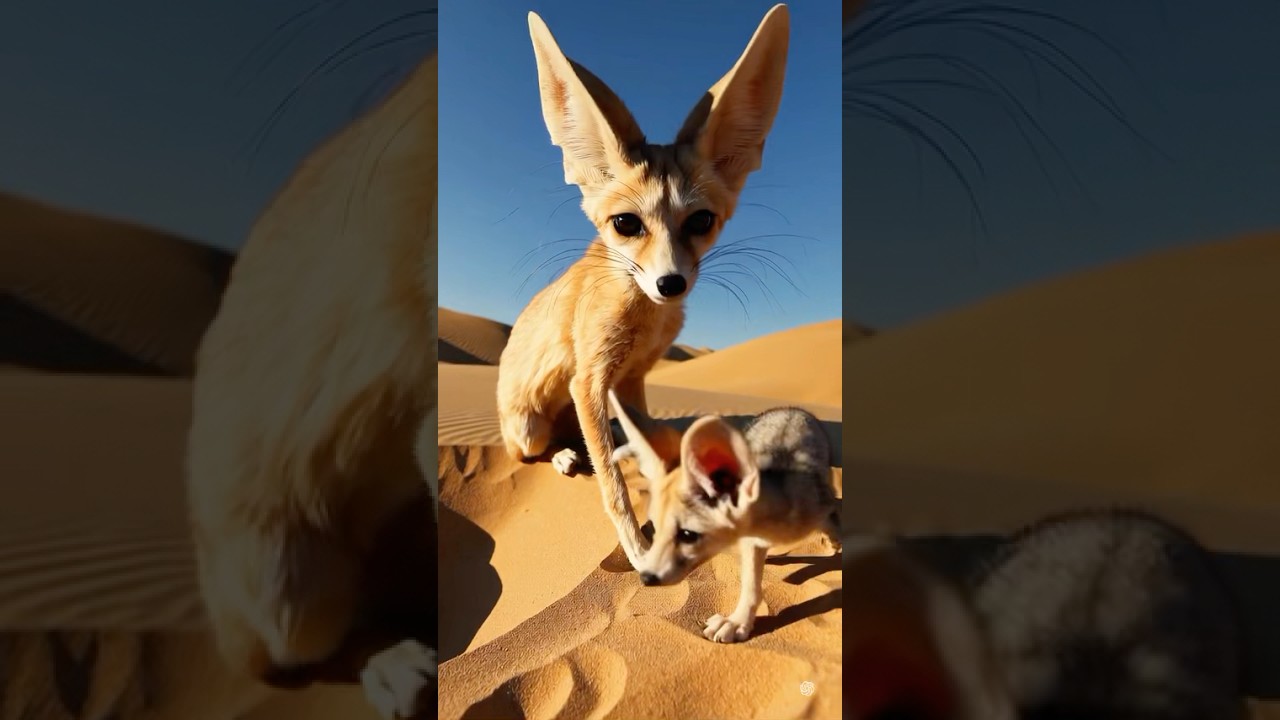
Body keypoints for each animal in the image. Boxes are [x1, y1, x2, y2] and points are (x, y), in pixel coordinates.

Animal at [495, 4, 791, 571]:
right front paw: (636, 546)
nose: (669, 282)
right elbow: (613, 489)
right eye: (626, 224)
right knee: (532, 453)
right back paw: (563, 455)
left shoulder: (630, 380)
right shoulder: (589, 381)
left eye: (701, 221)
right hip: (529, 428)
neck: (646, 317)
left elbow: (654, 445)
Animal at [608, 390, 841, 643]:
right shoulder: (753, 542)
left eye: (687, 535)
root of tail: (788, 408)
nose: (645, 578)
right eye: (655, 530)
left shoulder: (824, 506)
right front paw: (739, 620)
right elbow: (750, 585)